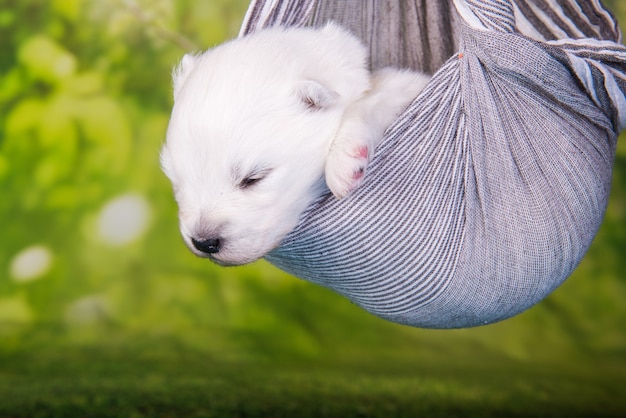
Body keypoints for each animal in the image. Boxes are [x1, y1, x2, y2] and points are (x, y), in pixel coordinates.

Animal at [161, 23, 428, 264]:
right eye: (176, 180)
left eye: (253, 179)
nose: (204, 243)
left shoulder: (406, 86)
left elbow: (374, 98)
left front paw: (345, 160)